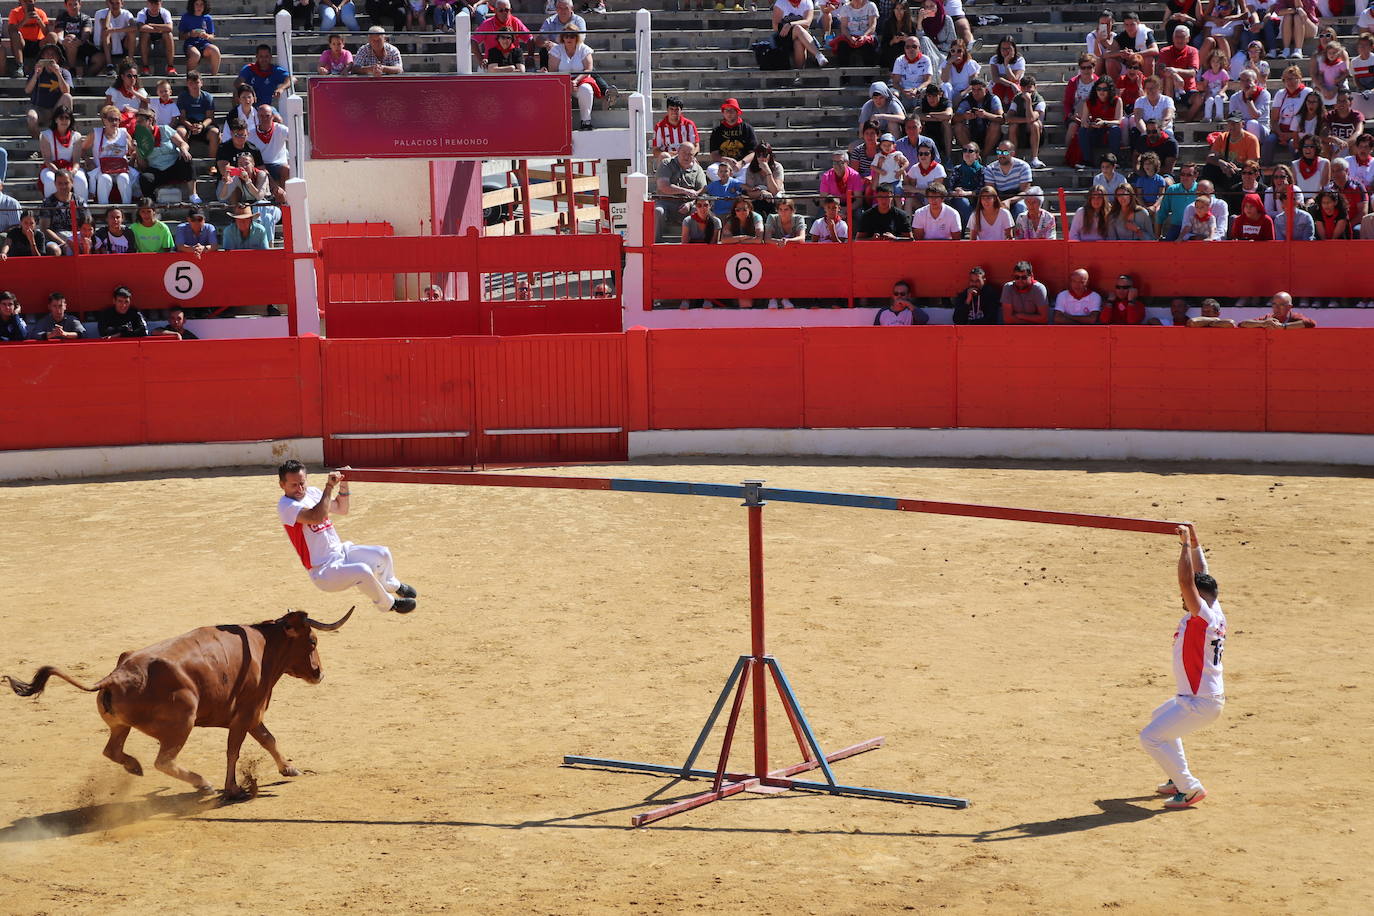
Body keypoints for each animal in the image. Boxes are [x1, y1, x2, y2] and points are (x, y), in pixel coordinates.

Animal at [2, 604, 354, 796]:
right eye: (313, 641)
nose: (319, 673)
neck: (263, 645)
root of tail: (116, 675)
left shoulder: (251, 715)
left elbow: (268, 740)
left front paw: (289, 769)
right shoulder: (246, 713)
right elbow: (236, 750)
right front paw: (233, 789)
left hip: (121, 726)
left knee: (112, 750)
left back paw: (134, 767)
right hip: (183, 722)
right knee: (164, 760)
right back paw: (202, 783)